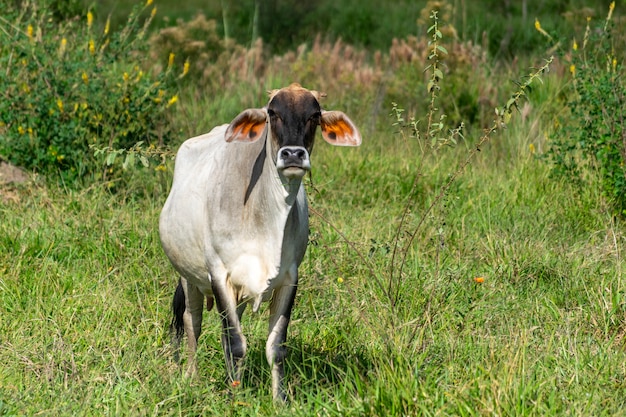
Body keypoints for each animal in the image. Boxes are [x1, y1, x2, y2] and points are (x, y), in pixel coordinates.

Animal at [158, 82, 358, 400]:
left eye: (314, 115)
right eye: (272, 113)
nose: (293, 155)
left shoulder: (290, 278)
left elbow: (274, 346)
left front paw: (279, 400)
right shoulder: (219, 274)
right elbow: (236, 344)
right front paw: (234, 398)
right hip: (189, 276)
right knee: (193, 322)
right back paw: (191, 376)